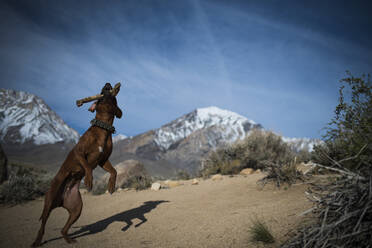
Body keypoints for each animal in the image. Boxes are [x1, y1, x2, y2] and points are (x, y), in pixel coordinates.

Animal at [32, 83, 122, 246]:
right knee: (43, 224)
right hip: (49, 201)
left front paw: (111, 186)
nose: (107, 84)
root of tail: (60, 201)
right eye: (101, 92)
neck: (103, 128)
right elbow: (87, 166)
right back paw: (37, 241)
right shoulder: (79, 152)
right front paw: (89, 179)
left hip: (76, 209)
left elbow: (114, 171)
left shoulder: (103, 160)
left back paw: (68, 239)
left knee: (63, 229)